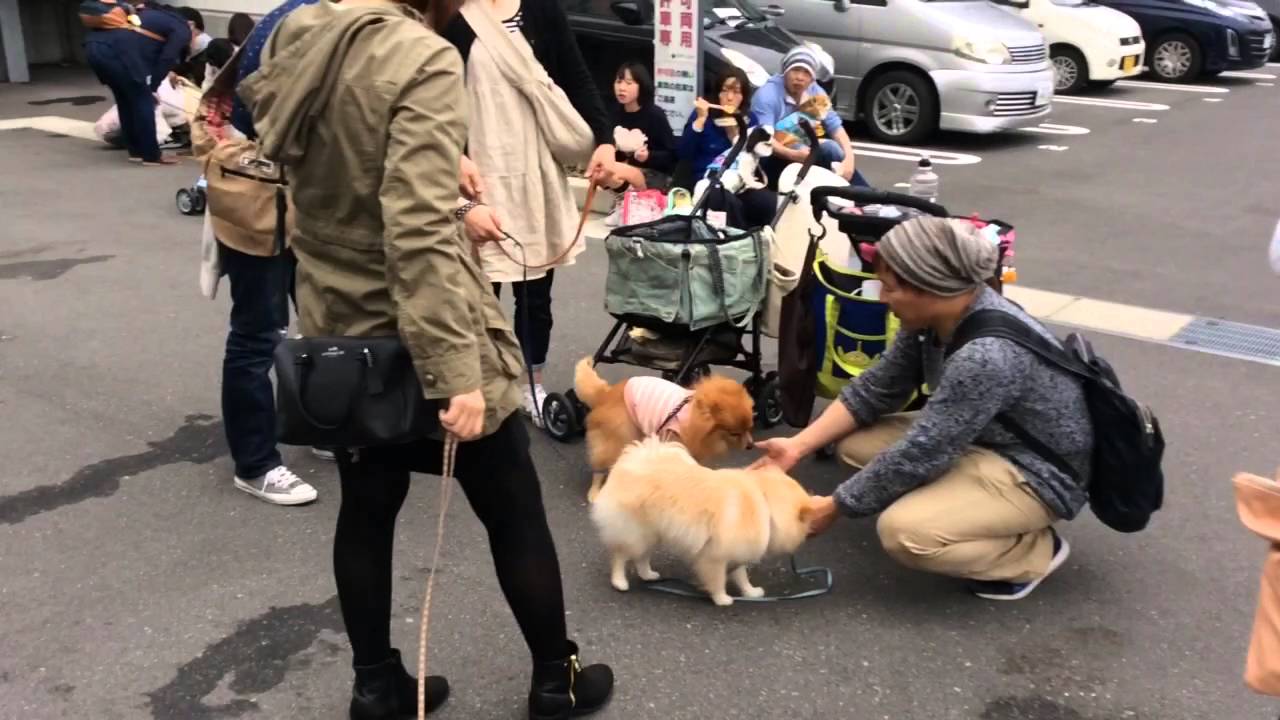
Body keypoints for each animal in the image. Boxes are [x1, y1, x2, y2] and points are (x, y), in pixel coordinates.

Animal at [570, 356, 747, 502]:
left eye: (749, 428)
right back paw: (595, 491)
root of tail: (605, 394)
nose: (750, 445)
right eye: (734, 433)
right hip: (620, 434)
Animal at [586, 435, 819, 602]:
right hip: (634, 531)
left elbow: (741, 575)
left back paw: (648, 575)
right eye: (806, 524)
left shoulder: (735, 552)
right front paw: (723, 598)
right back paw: (619, 581)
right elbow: (718, 580)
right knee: (621, 556)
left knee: (641, 557)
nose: (810, 534)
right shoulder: (715, 556)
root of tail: (633, 459)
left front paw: (750, 592)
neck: (765, 502)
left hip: (652, 532)